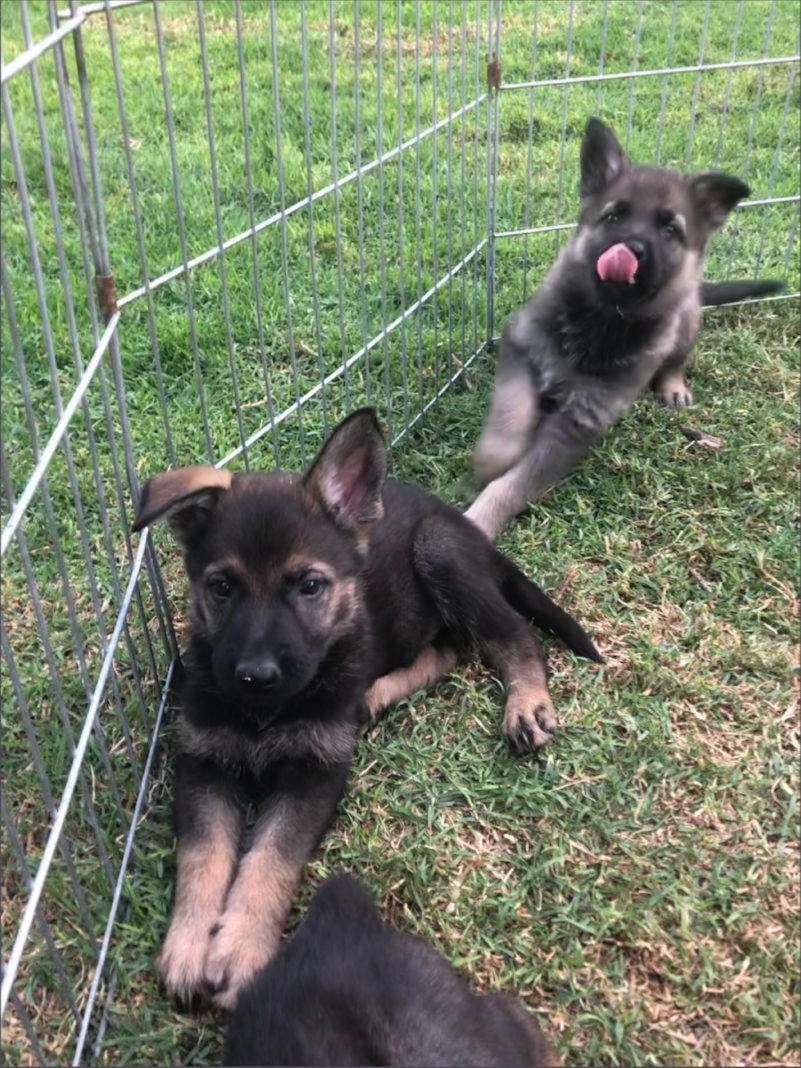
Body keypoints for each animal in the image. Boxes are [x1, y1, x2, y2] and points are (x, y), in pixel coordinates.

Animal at [133, 407, 602, 1008]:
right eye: (221, 587)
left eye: (310, 586)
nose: (254, 677)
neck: (270, 711)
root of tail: (464, 525)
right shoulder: (203, 760)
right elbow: (203, 855)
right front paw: (191, 944)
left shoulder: (316, 771)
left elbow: (270, 860)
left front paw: (238, 951)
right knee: (447, 650)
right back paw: (378, 692)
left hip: (439, 553)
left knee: (512, 635)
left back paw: (526, 703)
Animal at [467, 114, 786, 542]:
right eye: (614, 216)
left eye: (670, 230)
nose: (630, 249)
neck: (598, 321)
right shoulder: (519, 345)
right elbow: (511, 408)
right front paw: (493, 456)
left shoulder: (575, 425)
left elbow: (513, 486)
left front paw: (478, 521)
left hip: (685, 323)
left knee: (676, 358)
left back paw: (672, 386)